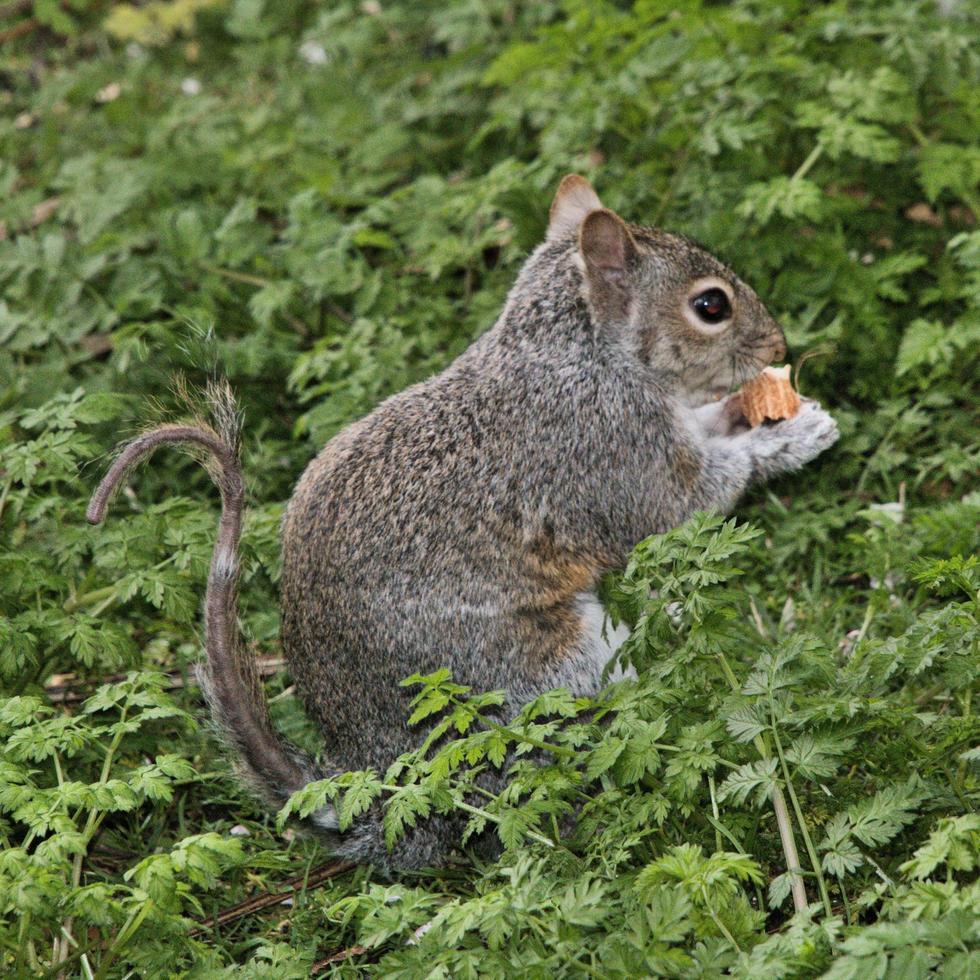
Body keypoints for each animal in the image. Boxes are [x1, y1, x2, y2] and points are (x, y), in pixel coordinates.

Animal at [88, 178, 840, 872]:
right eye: (710, 305)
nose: (777, 341)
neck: (585, 359)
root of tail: (378, 777)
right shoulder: (615, 457)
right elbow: (687, 500)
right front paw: (790, 438)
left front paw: (755, 410)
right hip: (544, 668)